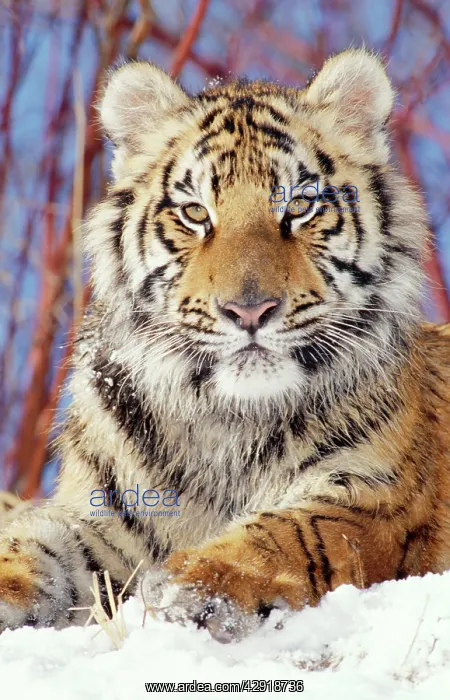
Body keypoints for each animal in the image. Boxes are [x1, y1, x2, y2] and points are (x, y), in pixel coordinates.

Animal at [1, 47, 449, 642]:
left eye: (300, 206)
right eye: (195, 212)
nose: (249, 310)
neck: (224, 418)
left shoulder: (373, 499)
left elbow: (288, 535)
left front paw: (190, 587)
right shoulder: (103, 517)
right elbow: (34, 543)